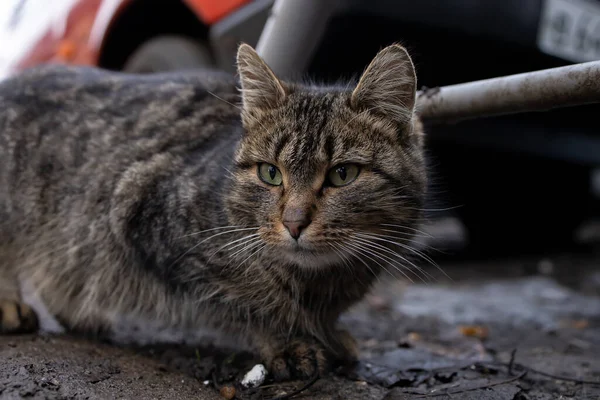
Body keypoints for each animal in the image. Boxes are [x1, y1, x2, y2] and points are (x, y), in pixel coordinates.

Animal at [2, 42, 428, 380]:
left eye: (343, 174)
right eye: (270, 173)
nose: (294, 223)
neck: (320, 282)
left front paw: (330, 335)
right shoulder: (141, 212)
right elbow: (251, 298)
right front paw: (288, 340)